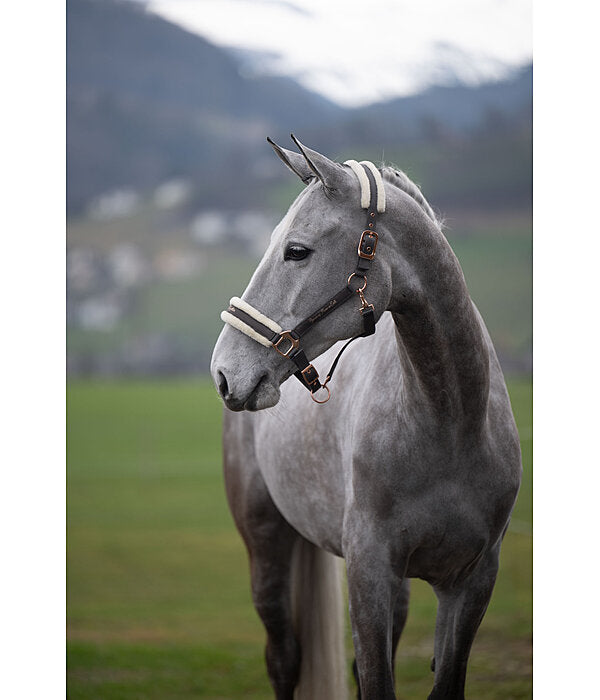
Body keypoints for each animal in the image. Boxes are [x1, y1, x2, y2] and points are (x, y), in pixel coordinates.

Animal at [210, 136, 522, 700]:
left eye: (297, 250)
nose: (224, 372)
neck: (450, 423)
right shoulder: (369, 571)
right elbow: (376, 680)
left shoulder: (471, 581)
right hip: (266, 545)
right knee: (283, 658)